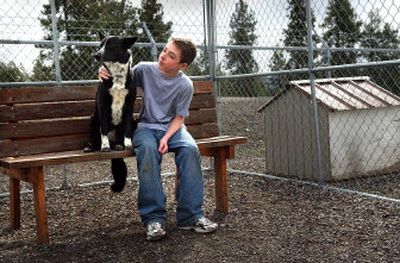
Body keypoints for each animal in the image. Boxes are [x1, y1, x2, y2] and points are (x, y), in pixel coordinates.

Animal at [83, 33, 137, 194]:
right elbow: (104, 129)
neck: (117, 75)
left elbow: (127, 129)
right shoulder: (103, 107)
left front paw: (127, 143)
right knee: (96, 137)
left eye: (111, 45)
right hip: (93, 119)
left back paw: (119, 145)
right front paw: (105, 145)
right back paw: (93, 147)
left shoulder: (129, 106)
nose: (96, 55)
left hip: (133, 120)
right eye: (100, 45)